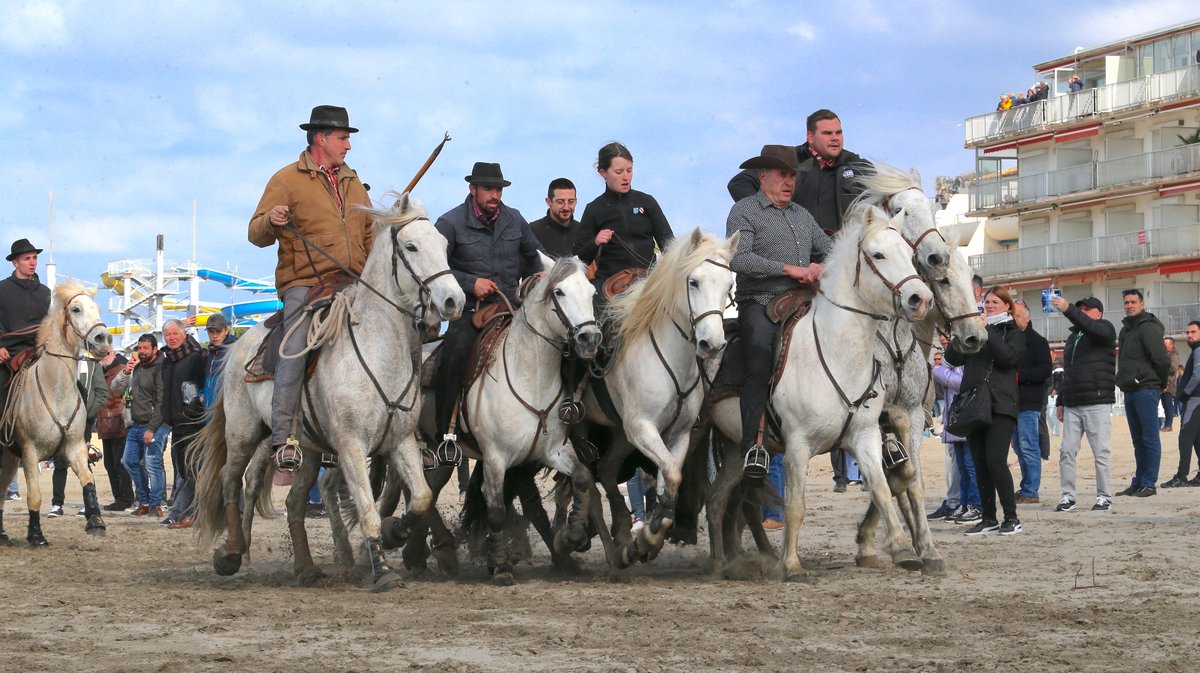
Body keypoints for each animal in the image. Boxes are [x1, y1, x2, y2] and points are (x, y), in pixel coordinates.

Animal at [0, 280, 111, 542]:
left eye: (98, 310)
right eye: (76, 309)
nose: (103, 339)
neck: (56, 390)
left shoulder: (75, 447)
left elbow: (88, 480)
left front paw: (95, 520)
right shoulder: (30, 452)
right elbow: (34, 496)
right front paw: (36, 535)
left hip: (9, 457)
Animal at [192, 193, 463, 587]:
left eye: (443, 245)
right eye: (411, 246)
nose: (454, 301)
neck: (377, 350)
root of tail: (236, 348)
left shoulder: (399, 440)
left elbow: (422, 497)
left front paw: (394, 533)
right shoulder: (351, 446)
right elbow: (366, 509)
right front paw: (382, 571)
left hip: (303, 445)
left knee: (286, 496)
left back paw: (303, 567)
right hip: (244, 431)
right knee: (233, 480)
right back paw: (231, 553)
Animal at [585, 226, 734, 566]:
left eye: (729, 284)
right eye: (694, 281)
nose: (712, 344)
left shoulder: (676, 434)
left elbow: (672, 478)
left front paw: (649, 538)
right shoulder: (641, 428)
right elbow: (672, 476)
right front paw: (648, 537)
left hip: (621, 435)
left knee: (607, 470)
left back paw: (623, 535)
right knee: (588, 487)